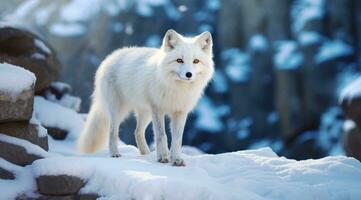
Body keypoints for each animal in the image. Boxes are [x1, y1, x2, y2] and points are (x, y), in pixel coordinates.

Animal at [78, 29, 214, 166]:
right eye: (179, 60)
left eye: (196, 61)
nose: (189, 74)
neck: (176, 89)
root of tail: (110, 57)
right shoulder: (158, 109)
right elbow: (161, 135)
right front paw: (163, 157)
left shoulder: (180, 112)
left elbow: (177, 139)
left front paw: (176, 159)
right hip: (119, 110)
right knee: (112, 132)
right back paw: (115, 154)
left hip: (146, 113)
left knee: (137, 131)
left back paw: (146, 154)